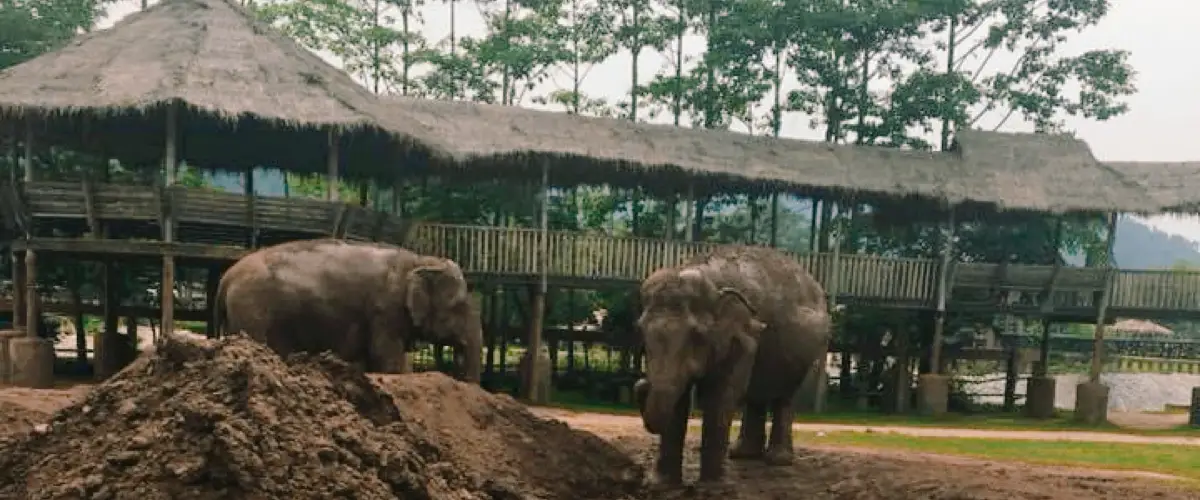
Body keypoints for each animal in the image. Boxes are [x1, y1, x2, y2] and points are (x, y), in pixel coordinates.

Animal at [213, 238, 482, 383]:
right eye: (458, 305)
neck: (419, 260)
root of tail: (226, 278)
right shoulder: (385, 309)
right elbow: (386, 354)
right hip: (252, 311)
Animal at [634, 245, 831, 484]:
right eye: (641, 330)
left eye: (697, 335)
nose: (641, 383)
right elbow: (678, 398)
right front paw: (661, 484)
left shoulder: (743, 336)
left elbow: (721, 395)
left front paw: (713, 484)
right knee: (757, 395)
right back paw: (742, 455)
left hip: (804, 354)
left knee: (784, 396)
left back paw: (777, 459)